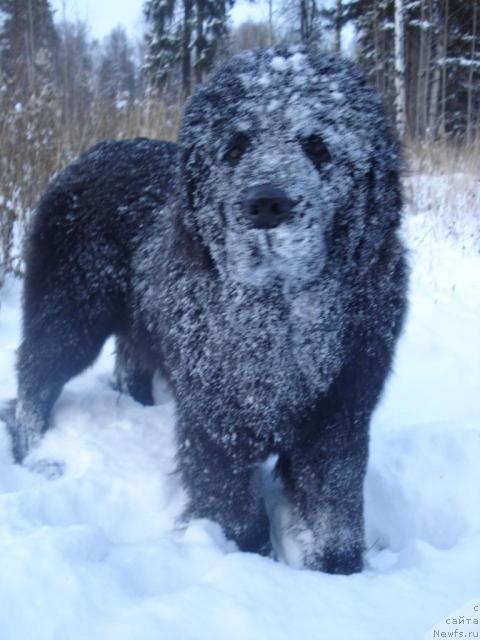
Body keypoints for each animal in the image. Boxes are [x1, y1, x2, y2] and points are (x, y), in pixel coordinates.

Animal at [10, 47, 408, 572]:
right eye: (236, 146)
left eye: (318, 146)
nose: (266, 204)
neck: (280, 319)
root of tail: (89, 155)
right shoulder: (217, 426)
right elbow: (238, 514)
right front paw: (253, 565)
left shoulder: (339, 417)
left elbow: (336, 514)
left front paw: (340, 573)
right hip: (70, 315)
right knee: (34, 379)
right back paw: (34, 451)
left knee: (126, 370)